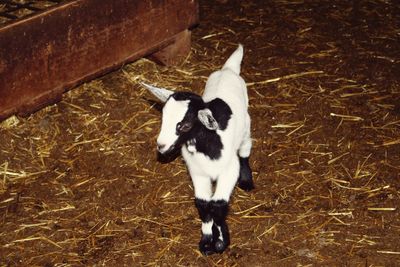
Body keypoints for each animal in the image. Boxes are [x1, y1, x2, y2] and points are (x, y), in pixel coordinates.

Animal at [142, 44, 253, 255]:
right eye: (163, 118)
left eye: (185, 125)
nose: (161, 145)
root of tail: (228, 70)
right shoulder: (197, 172)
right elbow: (203, 204)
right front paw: (207, 240)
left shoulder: (228, 170)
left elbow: (218, 204)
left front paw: (221, 241)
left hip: (246, 126)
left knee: (245, 149)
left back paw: (247, 181)